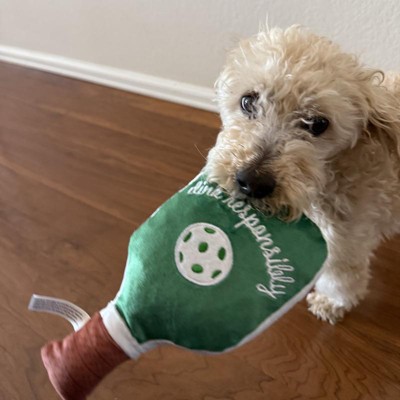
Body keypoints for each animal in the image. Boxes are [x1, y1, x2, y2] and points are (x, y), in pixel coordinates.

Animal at [205, 25, 400, 324]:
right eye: (248, 101)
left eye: (318, 124)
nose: (252, 182)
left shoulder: (345, 243)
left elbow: (341, 281)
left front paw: (332, 304)